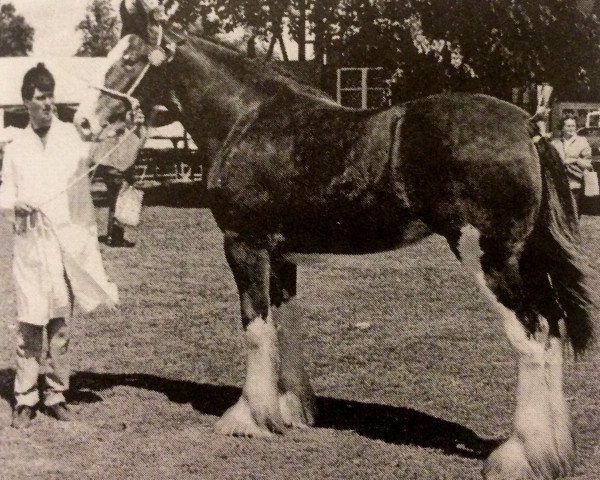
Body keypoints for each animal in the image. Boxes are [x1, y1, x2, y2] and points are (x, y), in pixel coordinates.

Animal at [72, 2, 596, 476]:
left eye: (130, 59)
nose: (82, 122)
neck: (248, 120)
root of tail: (527, 126)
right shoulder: (281, 254)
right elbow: (284, 322)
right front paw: (291, 409)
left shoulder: (244, 245)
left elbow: (255, 327)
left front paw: (249, 418)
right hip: (525, 259)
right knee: (552, 328)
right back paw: (555, 452)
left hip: (488, 258)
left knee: (531, 335)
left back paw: (519, 455)